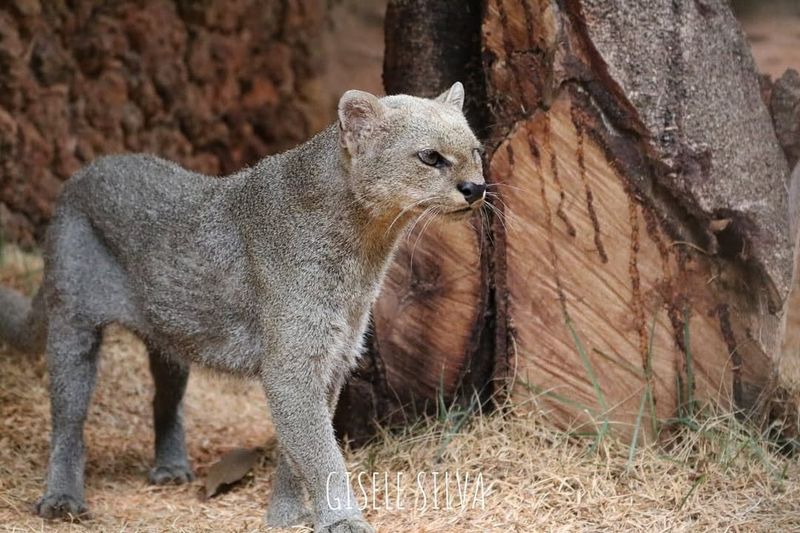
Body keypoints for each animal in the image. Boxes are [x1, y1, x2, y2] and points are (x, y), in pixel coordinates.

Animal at [0, 81, 482, 528]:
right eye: (430, 157)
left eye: (476, 151)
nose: (475, 187)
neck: (363, 253)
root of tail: (81, 175)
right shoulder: (293, 362)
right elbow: (319, 451)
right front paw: (342, 520)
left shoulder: (333, 354)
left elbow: (297, 451)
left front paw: (286, 517)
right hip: (73, 322)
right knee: (67, 416)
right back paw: (62, 499)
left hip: (170, 335)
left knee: (165, 399)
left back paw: (170, 469)